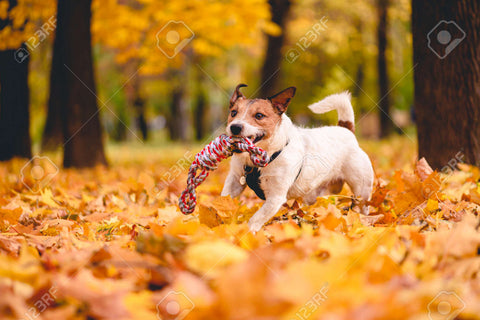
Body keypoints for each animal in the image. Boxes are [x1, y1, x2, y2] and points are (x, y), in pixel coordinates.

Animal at [221, 84, 376, 231]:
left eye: (259, 116)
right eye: (233, 112)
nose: (235, 127)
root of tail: (346, 130)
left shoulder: (275, 197)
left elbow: (255, 219)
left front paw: (246, 232)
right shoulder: (235, 181)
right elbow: (224, 199)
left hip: (361, 191)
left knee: (362, 207)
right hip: (315, 194)